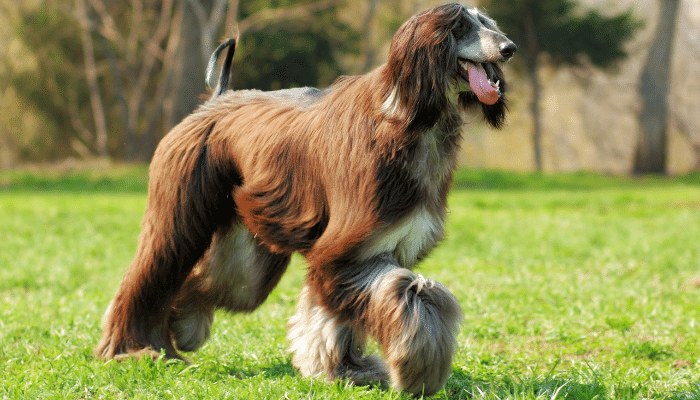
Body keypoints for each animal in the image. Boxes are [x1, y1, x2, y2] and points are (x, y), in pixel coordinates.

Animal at [97, 2, 516, 396]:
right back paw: (131, 350)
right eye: (459, 26)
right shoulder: (346, 248)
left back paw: (182, 328)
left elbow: (336, 315)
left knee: (212, 282)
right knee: (149, 274)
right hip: (178, 213)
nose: (509, 48)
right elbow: (410, 297)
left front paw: (345, 370)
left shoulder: (369, 249)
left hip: (249, 249)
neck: (411, 121)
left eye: (487, 22)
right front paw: (417, 371)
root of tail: (215, 100)